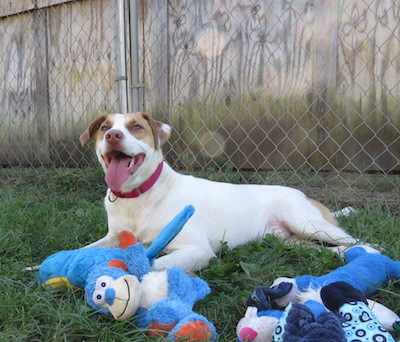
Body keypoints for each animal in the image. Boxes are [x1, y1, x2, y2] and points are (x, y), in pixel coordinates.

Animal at [79, 112, 360, 272]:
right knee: (328, 249)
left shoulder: (197, 249)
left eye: (136, 126)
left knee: (360, 242)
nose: (113, 135)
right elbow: (83, 250)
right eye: (104, 127)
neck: (137, 197)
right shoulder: (112, 237)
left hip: (307, 223)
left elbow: (154, 265)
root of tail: (304, 195)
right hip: (290, 240)